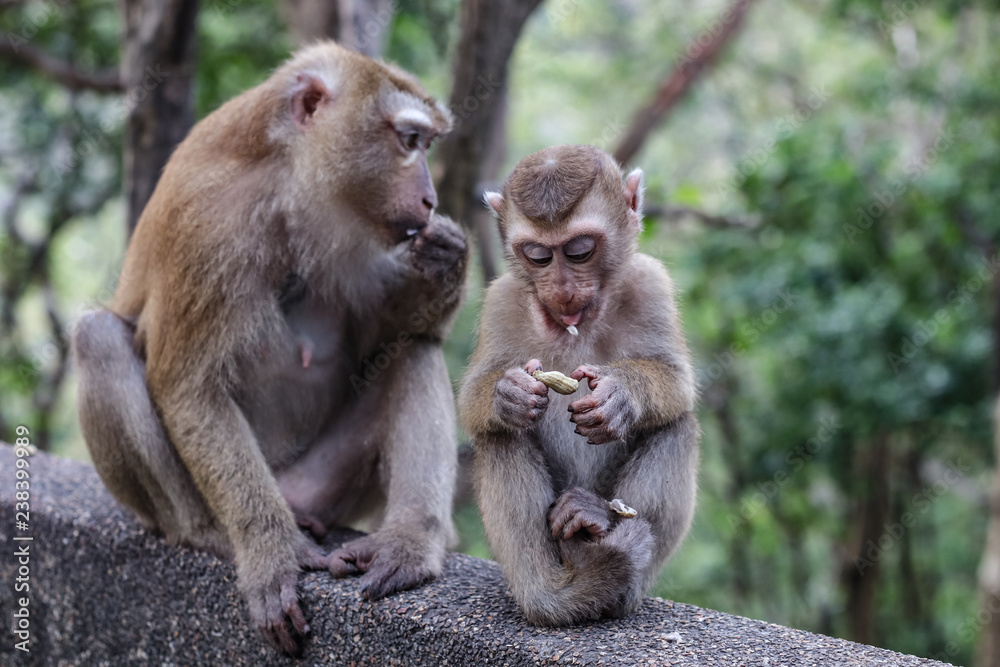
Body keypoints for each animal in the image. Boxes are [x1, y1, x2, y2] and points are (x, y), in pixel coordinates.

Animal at [70, 44, 468, 656]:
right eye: (409, 141)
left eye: (426, 145)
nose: (430, 199)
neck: (285, 180)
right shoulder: (209, 223)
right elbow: (189, 388)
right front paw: (269, 555)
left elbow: (392, 334)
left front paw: (446, 259)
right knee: (97, 338)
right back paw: (211, 531)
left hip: (320, 488)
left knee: (413, 352)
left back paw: (409, 541)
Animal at [458, 145, 700, 628]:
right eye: (538, 256)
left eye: (580, 251)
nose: (563, 289)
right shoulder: (500, 300)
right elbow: (472, 399)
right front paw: (508, 394)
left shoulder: (651, 283)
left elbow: (678, 383)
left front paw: (620, 396)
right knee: (499, 436)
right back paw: (550, 593)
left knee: (677, 425)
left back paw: (600, 528)